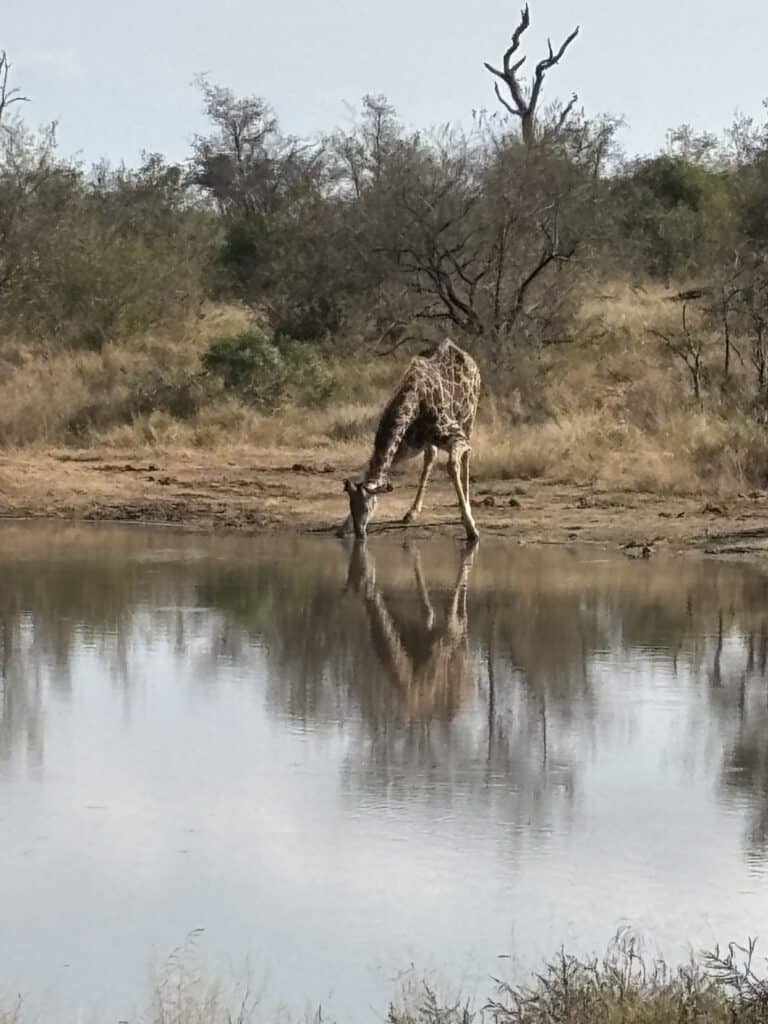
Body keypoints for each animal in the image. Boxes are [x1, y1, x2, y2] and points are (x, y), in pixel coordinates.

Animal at [340, 338, 481, 542]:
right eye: (351, 505)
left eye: (368, 507)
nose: (360, 533)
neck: (413, 403)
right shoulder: (406, 445)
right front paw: (343, 527)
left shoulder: (456, 436)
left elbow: (452, 465)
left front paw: (470, 527)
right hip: (428, 441)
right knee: (430, 457)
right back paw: (412, 512)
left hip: (469, 417)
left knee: (465, 456)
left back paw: (468, 509)